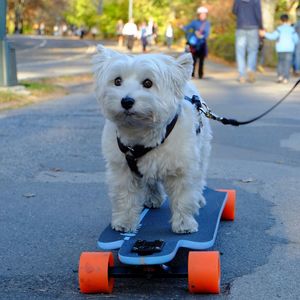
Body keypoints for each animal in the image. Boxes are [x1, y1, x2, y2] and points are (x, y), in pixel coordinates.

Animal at [92, 45, 212, 234]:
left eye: (148, 83)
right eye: (117, 81)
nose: (126, 101)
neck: (141, 134)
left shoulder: (182, 169)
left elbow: (184, 198)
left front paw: (184, 224)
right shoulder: (122, 170)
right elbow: (125, 197)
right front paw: (124, 222)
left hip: (202, 152)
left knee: (199, 178)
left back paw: (198, 198)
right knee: (151, 181)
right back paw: (153, 198)